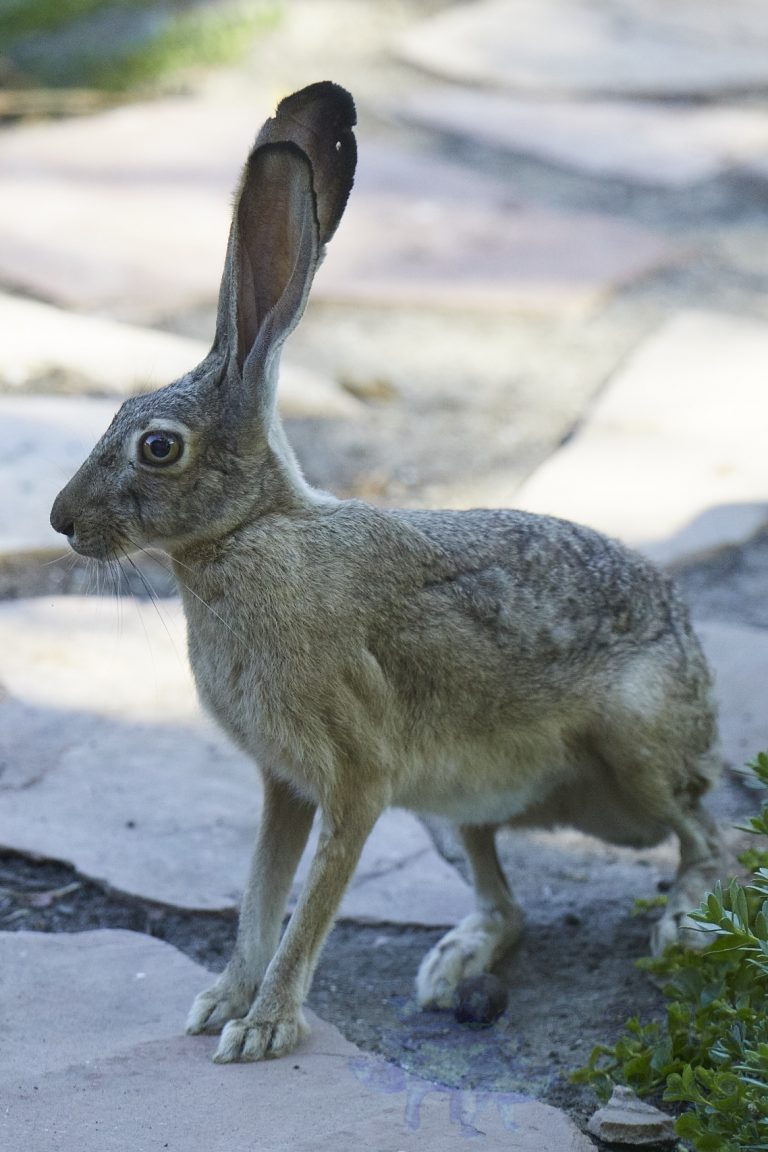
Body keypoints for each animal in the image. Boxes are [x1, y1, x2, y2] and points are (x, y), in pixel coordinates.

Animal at [50, 81, 724, 1064]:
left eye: (158, 446)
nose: (61, 524)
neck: (251, 533)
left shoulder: (356, 779)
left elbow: (307, 909)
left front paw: (264, 1030)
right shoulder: (285, 783)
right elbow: (258, 896)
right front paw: (221, 1005)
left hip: (636, 748)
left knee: (708, 832)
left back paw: (684, 924)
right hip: (451, 806)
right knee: (506, 898)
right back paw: (454, 963)